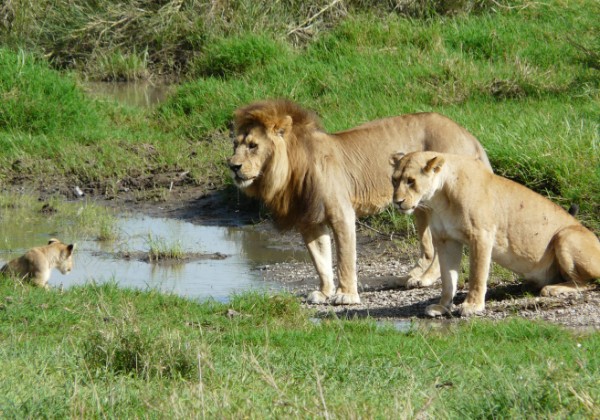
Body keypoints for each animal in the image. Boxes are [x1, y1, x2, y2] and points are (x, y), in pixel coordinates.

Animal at [227, 99, 490, 304]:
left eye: (253, 146)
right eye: (235, 145)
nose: (232, 166)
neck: (290, 169)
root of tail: (468, 135)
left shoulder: (341, 213)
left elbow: (344, 258)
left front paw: (345, 295)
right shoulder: (310, 221)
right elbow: (320, 260)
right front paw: (324, 292)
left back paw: (424, 278)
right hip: (417, 205)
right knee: (429, 247)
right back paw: (416, 276)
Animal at [392, 153, 596, 316]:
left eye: (411, 181)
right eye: (394, 180)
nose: (397, 202)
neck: (439, 199)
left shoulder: (481, 236)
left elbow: (477, 274)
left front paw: (472, 306)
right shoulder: (446, 240)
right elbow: (448, 279)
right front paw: (442, 307)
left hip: (565, 236)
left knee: (587, 282)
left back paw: (552, 289)